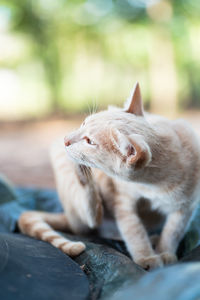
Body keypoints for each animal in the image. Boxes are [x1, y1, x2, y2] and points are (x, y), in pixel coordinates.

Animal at [18, 83, 200, 270]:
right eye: (83, 123)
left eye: (89, 141)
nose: (66, 140)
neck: (153, 185)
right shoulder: (122, 202)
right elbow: (134, 232)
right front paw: (146, 257)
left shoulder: (185, 207)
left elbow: (172, 232)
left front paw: (165, 253)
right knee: (91, 217)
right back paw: (82, 173)